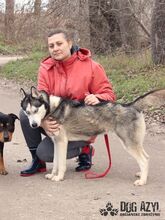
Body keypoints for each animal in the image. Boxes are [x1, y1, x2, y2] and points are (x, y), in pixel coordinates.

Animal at [20, 87, 164, 185]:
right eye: (27, 112)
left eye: (36, 110)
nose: (33, 125)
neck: (52, 108)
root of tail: (130, 105)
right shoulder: (56, 143)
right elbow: (55, 163)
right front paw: (52, 175)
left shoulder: (62, 142)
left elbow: (61, 164)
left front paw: (59, 177)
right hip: (134, 143)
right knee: (146, 158)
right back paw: (142, 175)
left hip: (129, 144)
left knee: (144, 160)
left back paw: (142, 181)